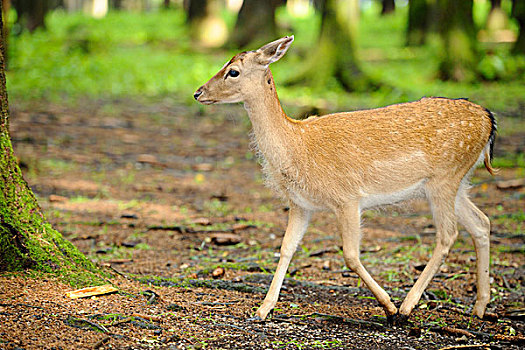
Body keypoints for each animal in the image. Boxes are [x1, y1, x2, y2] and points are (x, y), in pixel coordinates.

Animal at [193, 35, 496, 322]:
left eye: (233, 71)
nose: (198, 92)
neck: (296, 146)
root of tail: (489, 119)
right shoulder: (300, 204)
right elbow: (286, 248)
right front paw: (262, 310)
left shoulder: (348, 197)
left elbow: (350, 255)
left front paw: (388, 307)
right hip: (457, 182)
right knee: (481, 222)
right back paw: (479, 307)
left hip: (444, 178)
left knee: (448, 235)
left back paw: (406, 308)